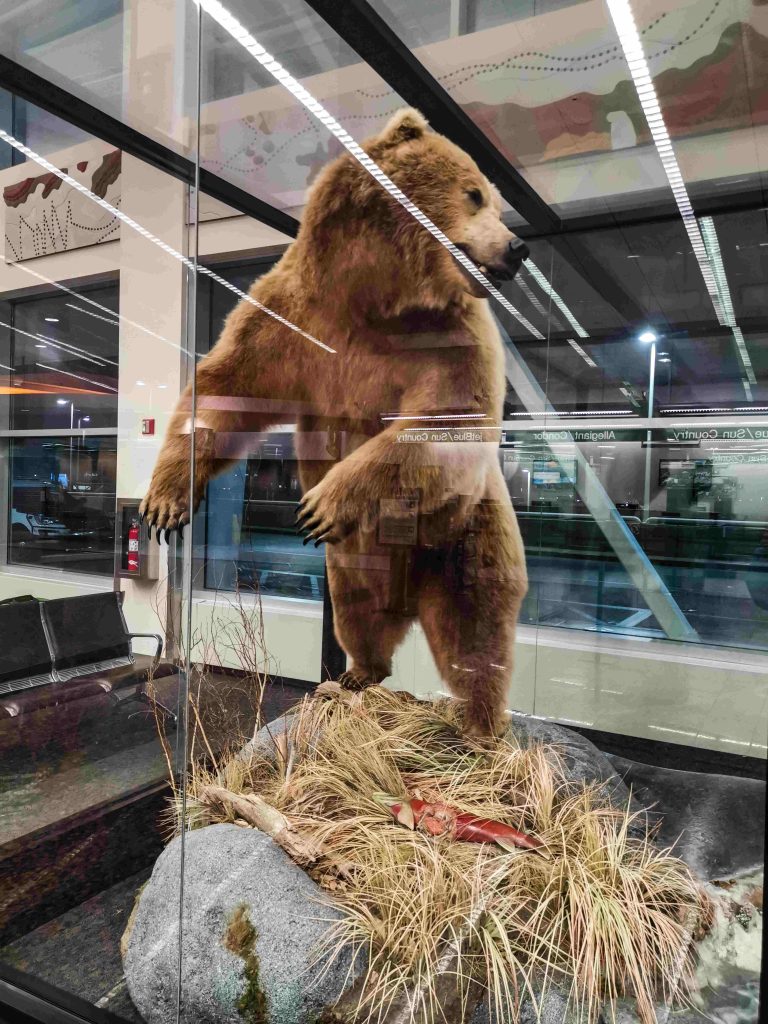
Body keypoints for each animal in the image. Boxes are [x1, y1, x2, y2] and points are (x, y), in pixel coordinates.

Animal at [140, 108, 529, 739]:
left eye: (494, 199)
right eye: (475, 194)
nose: (518, 247)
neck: (375, 296)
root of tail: (408, 590)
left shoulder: (452, 335)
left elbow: (447, 419)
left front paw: (326, 498)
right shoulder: (291, 318)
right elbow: (226, 387)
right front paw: (167, 500)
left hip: (465, 536)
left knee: (476, 632)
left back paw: (481, 726)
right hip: (352, 565)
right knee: (360, 612)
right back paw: (354, 675)